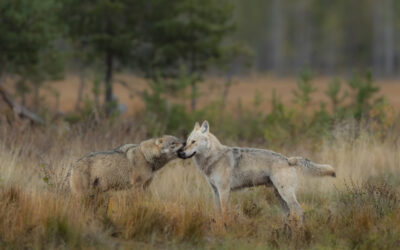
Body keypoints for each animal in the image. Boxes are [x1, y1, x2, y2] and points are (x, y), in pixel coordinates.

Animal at [177, 121, 336, 221]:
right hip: (280, 196)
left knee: (300, 212)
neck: (214, 158)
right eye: (186, 141)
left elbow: (225, 214)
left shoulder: (224, 191)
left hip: (286, 194)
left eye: (193, 142)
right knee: (289, 214)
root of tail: (288, 159)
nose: (180, 153)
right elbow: (218, 214)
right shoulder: (215, 192)